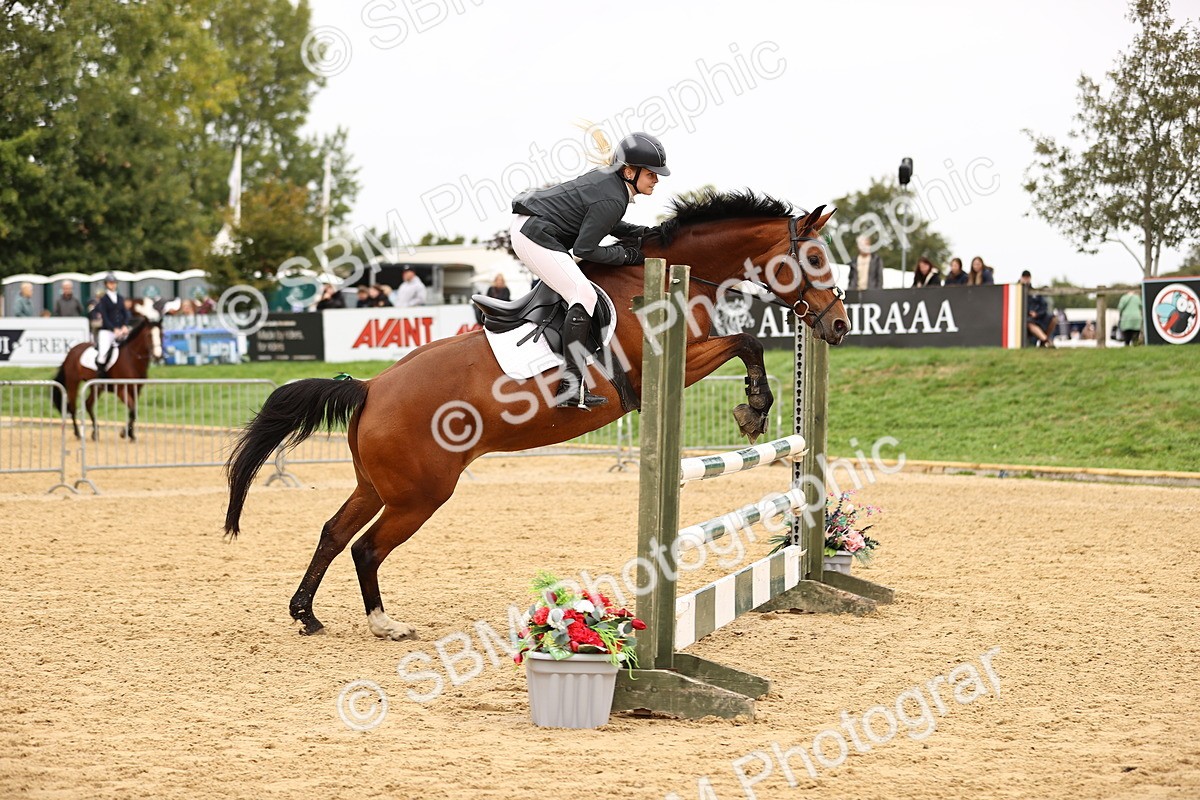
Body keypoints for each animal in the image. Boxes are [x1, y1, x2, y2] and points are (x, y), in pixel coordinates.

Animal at [53, 302, 163, 442]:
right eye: (149, 335)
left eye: (162, 334)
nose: (158, 356)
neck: (131, 359)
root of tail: (71, 351)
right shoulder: (122, 391)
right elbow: (132, 410)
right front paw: (125, 433)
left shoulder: (136, 390)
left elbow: (133, 411)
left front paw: (130, 434)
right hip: (73, 382)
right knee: (72, 407)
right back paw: (78, 433)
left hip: (95, 387)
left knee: (88, 404)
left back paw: (95, 433)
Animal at [224, 191, 850, 640]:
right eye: (816, 258)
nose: (841, 325)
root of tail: (372, 387)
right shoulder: (669, 370)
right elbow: (747, 341)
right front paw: (754, 408)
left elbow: (746, 341)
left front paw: (753, 407)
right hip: (419, 495)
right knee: (366, 548)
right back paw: (384, 624)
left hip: (378, 484)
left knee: (333, 533)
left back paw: (305, 613)